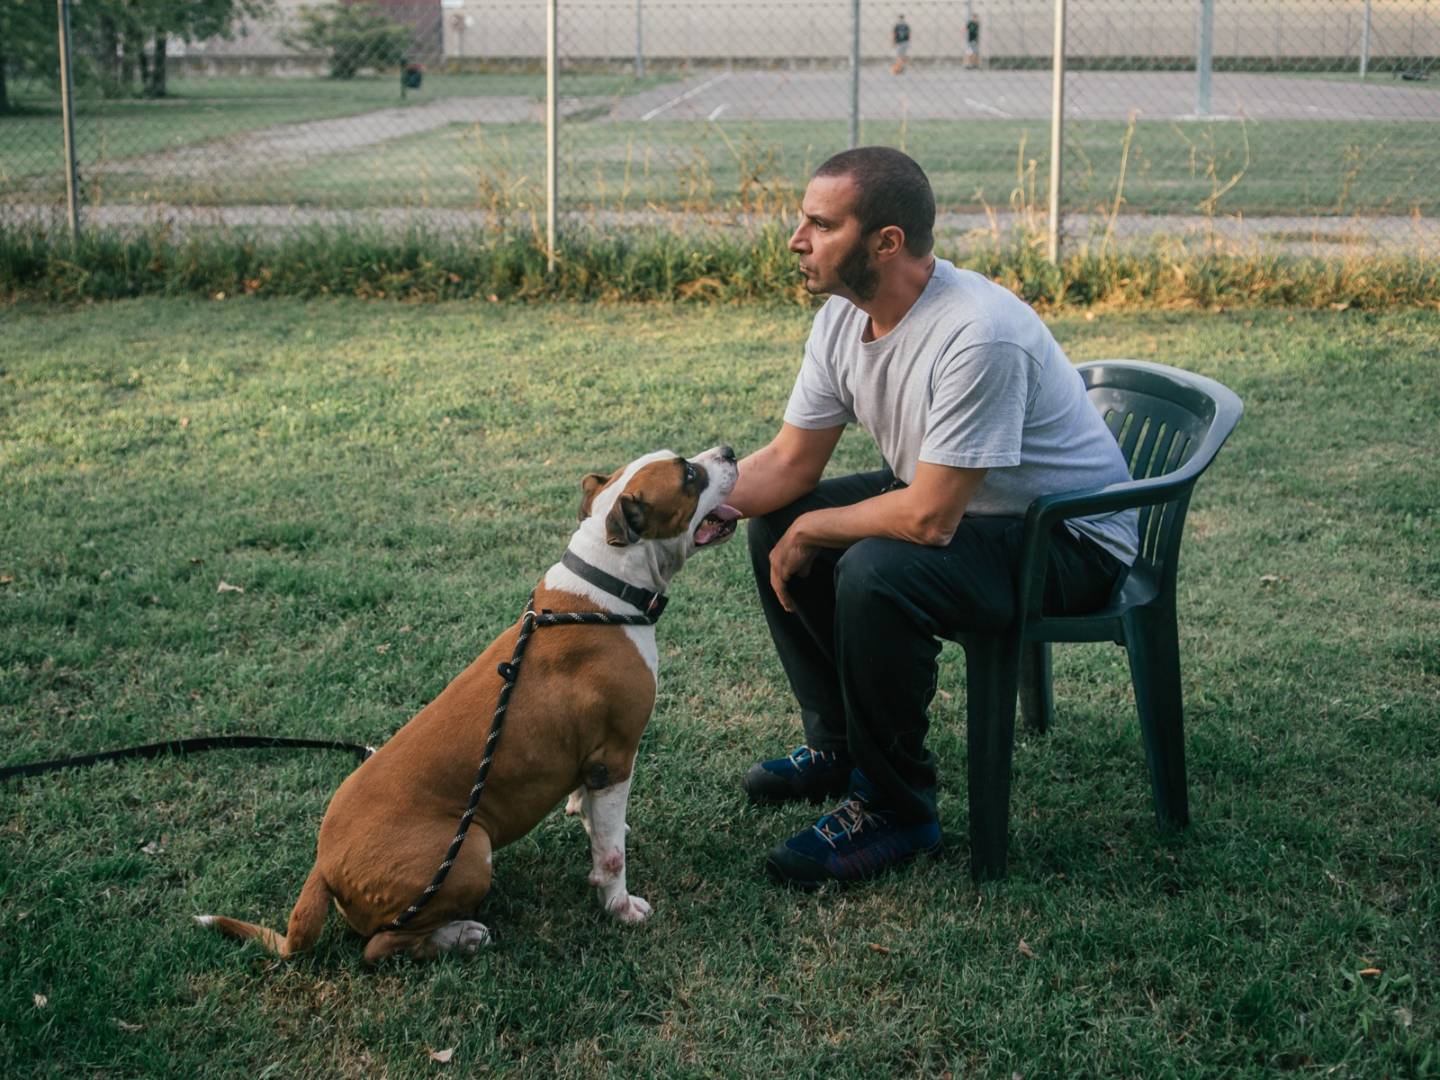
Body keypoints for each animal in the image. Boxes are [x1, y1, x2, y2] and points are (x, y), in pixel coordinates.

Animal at [200, 446, 743, 961]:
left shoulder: (595, 762)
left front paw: (590, 821)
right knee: (380, 947)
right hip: (470, 851)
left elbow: (593, 815)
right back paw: (460, 937)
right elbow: (611, 857)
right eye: (689, 476)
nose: (730, 451)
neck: (606, 585)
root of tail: (324, 866)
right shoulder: (616, 754)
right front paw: (619, 905)